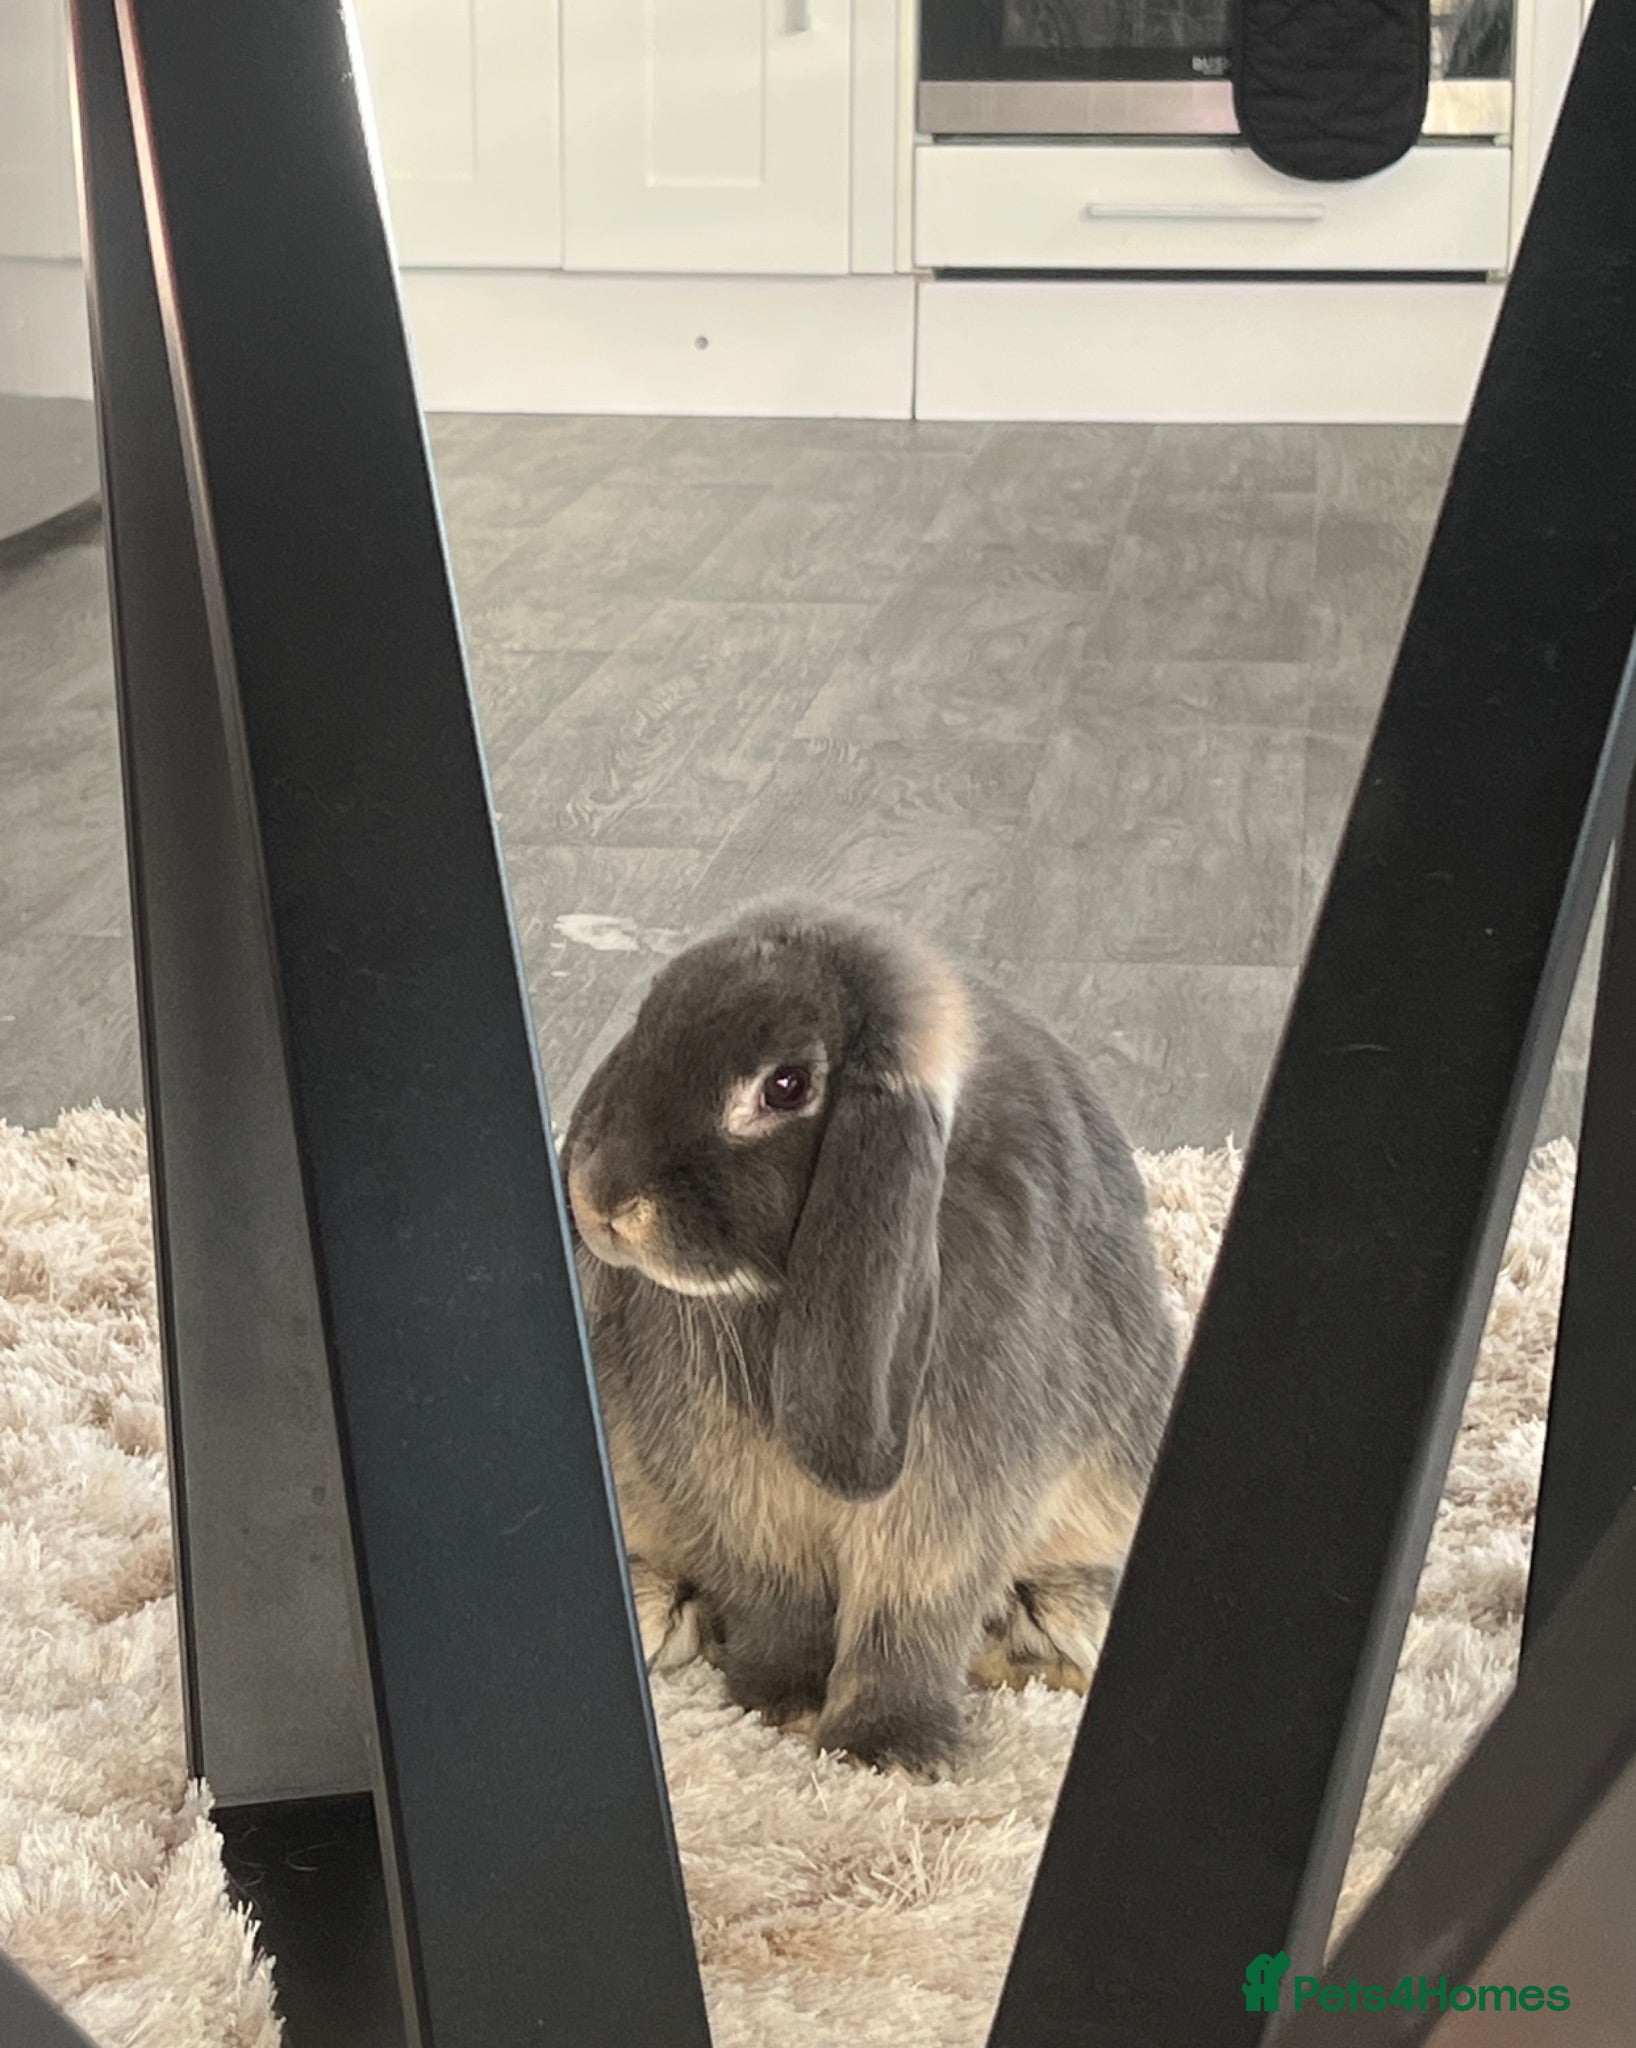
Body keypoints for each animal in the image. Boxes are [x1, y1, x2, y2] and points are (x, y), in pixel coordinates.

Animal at [560, 900, 1180, 1778]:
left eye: (786, 1085)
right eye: (649, 1019)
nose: (604, 1200)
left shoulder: (948, 1492)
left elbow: (910, 1608)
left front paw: (885, 1749)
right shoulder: (737, 1494)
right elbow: (776, 1595)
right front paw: (782, 1702)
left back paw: (1049, 1619)